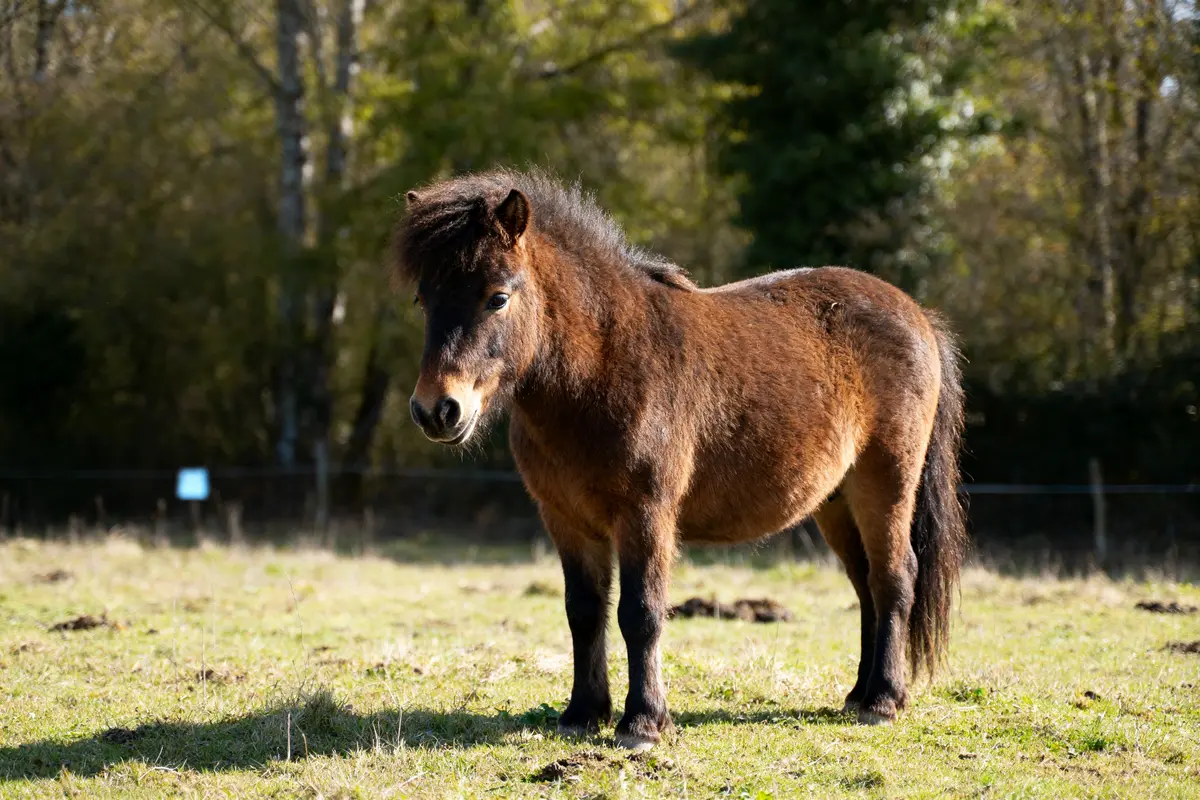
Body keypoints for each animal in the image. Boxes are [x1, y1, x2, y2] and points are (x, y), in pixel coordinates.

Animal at [393, 167, 968, 751]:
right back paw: (857, 694)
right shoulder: (567, 520)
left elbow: (641, 612)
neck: (603, 368)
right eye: (424, 299)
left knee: (894, 577)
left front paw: (643, 722)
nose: (437, 409)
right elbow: (584, 611)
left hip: (886, 483)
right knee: (865, 583)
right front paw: (583, 713)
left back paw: (883, 700)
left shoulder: (645, 514)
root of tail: (917, 315)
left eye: (498, 298)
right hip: (836, 500)